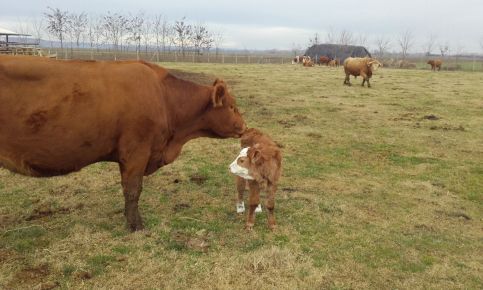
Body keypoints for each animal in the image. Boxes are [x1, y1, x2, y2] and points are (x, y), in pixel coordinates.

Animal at [0, 55, 248, 231]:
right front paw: (135, 225)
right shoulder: (136, 151)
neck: (164, 96)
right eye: (232, 106)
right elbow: (133, 190)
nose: (244, 126)